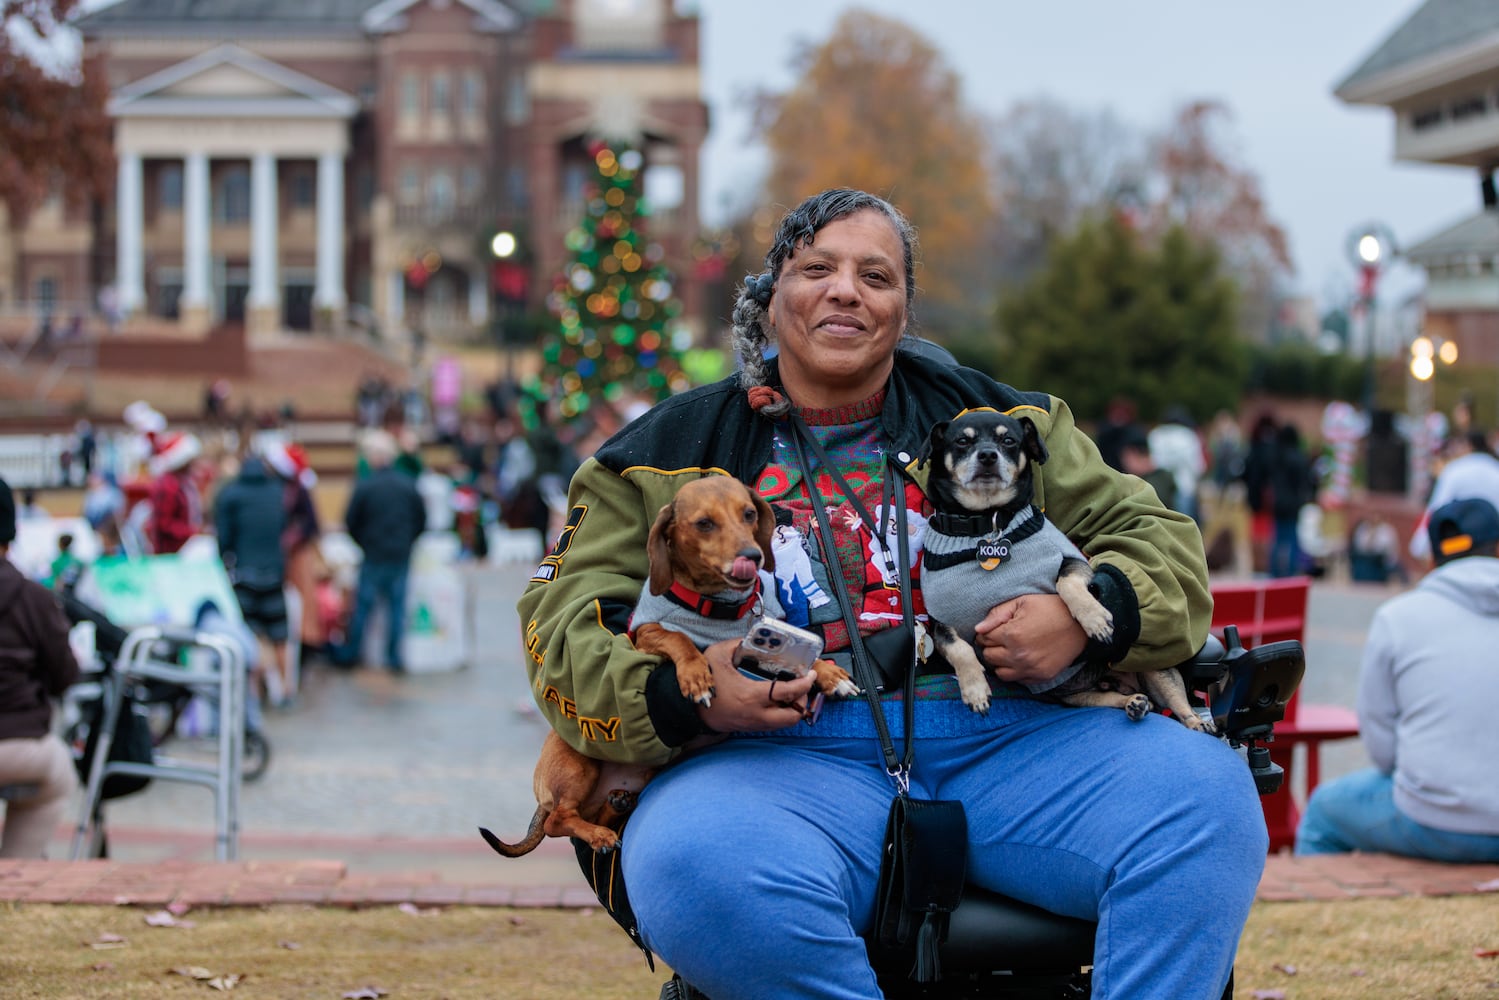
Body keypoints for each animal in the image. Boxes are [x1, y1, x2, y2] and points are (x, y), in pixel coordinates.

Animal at [479, 473, 857, 857]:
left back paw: (615, 804)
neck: (719, 608)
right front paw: (696, 676)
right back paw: (598, 835)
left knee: (592, 812)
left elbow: (808, 655)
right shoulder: (646, 635)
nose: (752, 556)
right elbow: (680, 640)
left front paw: (831, 674)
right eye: (704, 523)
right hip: (578, 762)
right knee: (559, 820)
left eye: (749, 514)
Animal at [917, 407, 1211, 734]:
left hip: (1154, 670)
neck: (986, 524)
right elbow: (960, 649)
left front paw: (1095, 619)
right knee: (1111, 698)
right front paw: (975, 690)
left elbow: (1065, 584)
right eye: (961, 442)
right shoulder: (941, 624)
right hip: (1079, 697)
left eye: (1008, 441)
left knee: (1177, 698)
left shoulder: (1074, 563)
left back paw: (1197, 722)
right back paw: (1133, 703)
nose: (988, 455)